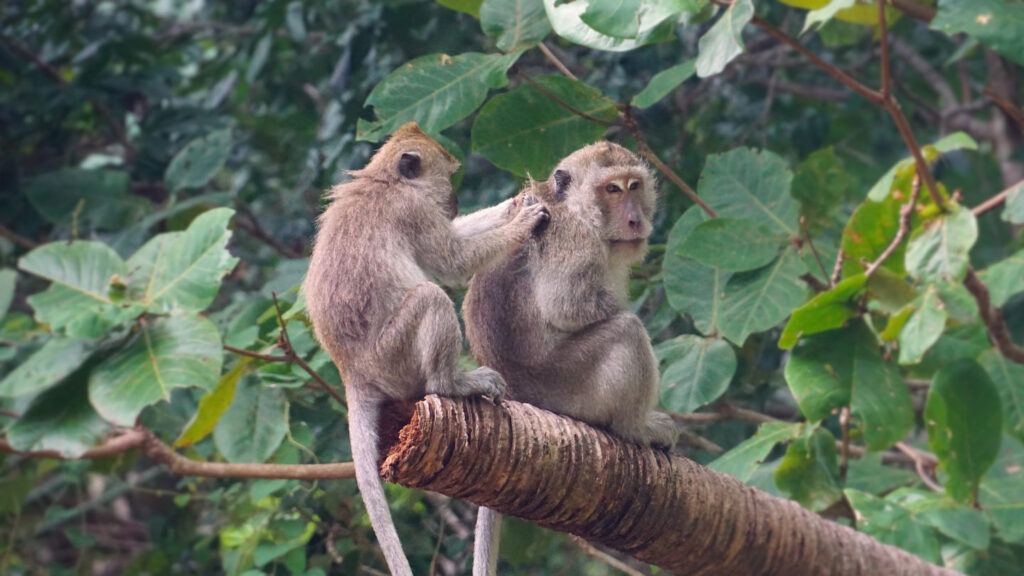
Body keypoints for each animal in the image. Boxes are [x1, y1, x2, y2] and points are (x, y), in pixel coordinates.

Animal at [301, 121, 548, 573]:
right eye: (449, 176)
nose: (453, 199)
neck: (386, 180)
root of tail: (351, 372)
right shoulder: (412, 212)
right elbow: (451, 261)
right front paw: (522, 220)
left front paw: (517, 202)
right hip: (393, 358)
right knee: (430, 297)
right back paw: (451, 383)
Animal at [466, 140, 679, 573]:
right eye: (611, 190)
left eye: (633, 186)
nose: (634, 220)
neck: (576, 208)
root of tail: (517, 396)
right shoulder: (572, 238)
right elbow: (568, 305)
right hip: (569, 388)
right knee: (627, 330)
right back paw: (637, 427)